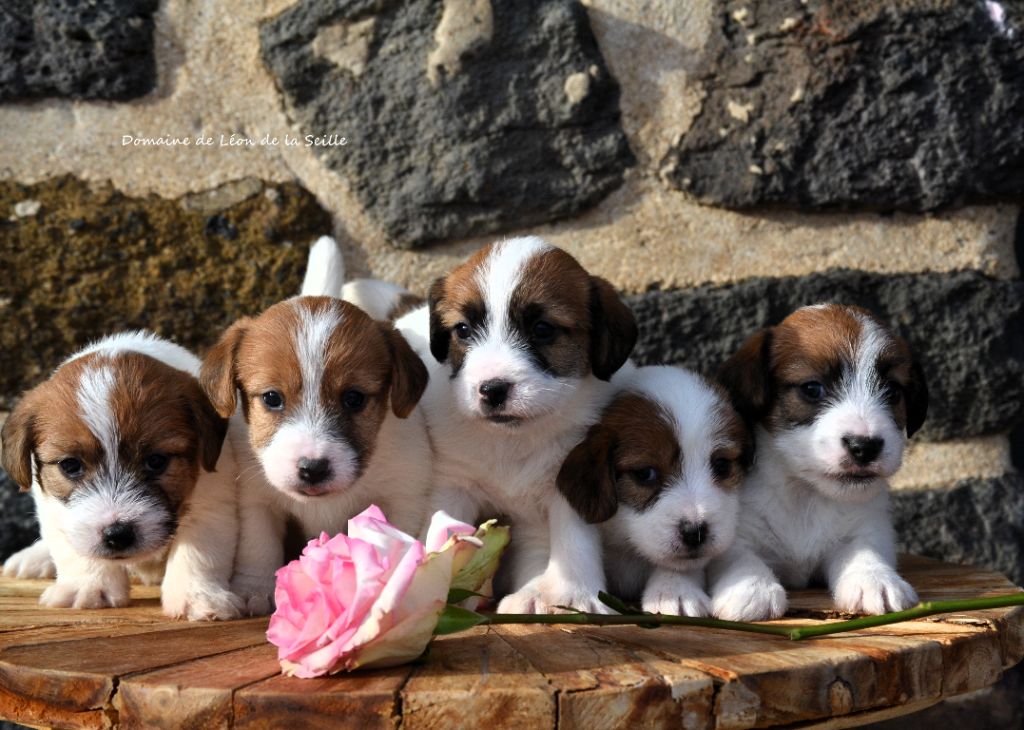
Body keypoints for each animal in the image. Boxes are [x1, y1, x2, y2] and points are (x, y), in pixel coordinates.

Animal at [1, 331, 239, 622]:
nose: (117, 535)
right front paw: (88, 586)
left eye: (156, 461)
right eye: (70, 465)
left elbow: (198, 553)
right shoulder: (55, 508)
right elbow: (73, 546)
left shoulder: (212, 502)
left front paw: (198, 597)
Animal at [201, 251, 430, 614]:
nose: (313, 469)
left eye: (354, 398)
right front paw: (255, 589)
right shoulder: (257, 503)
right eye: (272, 398)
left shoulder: (404, 498)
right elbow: (258, 547)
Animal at [387, 236, 634, 610]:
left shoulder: (569, 479)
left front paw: (576, 596)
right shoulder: (453, 484)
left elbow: (575, 541)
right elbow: (440, 531)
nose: (492, 389)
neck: (510, 439)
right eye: (463, 330)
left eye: (543, 329)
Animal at [708, 305, 933, 618]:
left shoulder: (867, 527)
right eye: (812, 389)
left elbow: (864, 551)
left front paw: (876, 579)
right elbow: (738, 556)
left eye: (892, 391)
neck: (805, 495)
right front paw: (752, 589)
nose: (864, 446)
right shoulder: (734, 532)